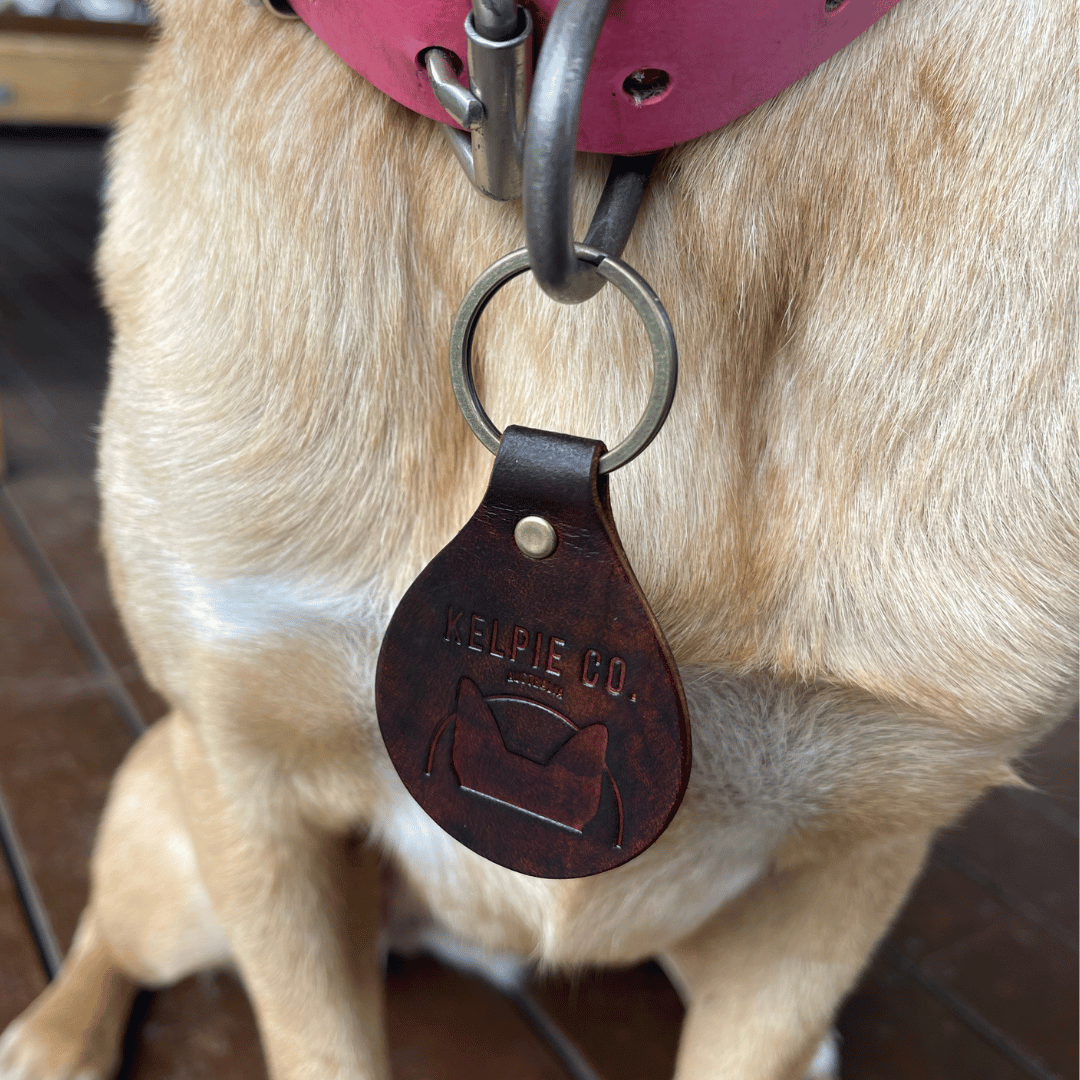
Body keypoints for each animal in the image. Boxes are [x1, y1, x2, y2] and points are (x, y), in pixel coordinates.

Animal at [0, 0, 1075, 1075]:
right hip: (178, 851)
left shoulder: (844, 874)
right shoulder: (246, 773)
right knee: (108, 931)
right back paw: (54, 1036)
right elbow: (318, 1044)